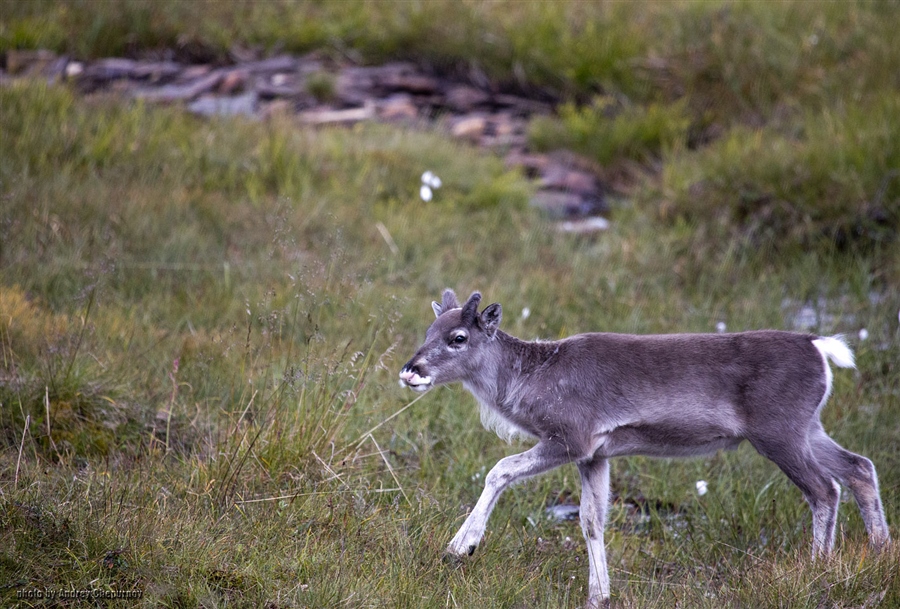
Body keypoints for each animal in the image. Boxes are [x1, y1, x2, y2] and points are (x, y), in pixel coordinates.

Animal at [400, 290, 884, 608]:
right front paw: (599, 595)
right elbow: (591, 521)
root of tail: (820, 347)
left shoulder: (570, 438)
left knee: (824, 489)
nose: (410, 370)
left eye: (458, 337)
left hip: (779, 432)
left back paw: (819, 569)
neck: (528, 382)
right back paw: (880, 553)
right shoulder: (595, 454)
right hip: (808, 427)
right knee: (859, 467)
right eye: (428, 330)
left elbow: (498, 469)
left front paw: (460, 545)